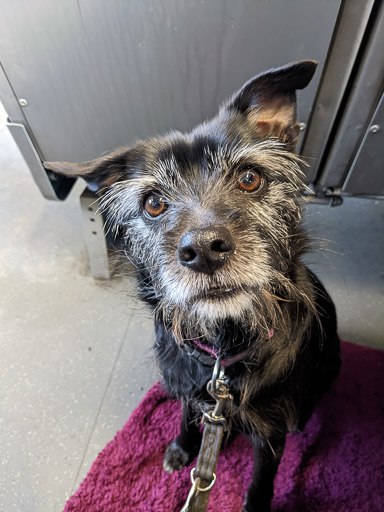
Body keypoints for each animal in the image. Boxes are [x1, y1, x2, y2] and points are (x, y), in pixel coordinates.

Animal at [44, 61, 340, 512]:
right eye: (153, 203)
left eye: (250, 178)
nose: (203, 250)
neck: (221, 352)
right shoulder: (186, 385)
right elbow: (185, 414)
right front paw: (183, 449)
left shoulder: (269, 433)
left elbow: (261, 481)